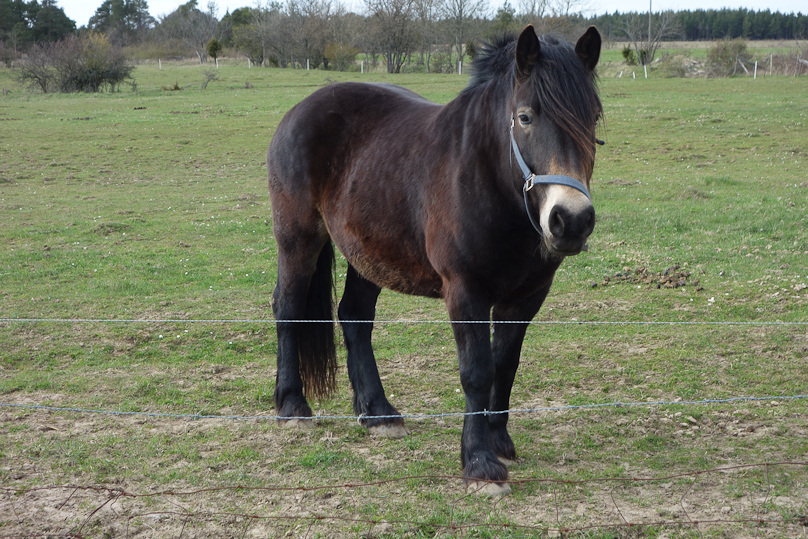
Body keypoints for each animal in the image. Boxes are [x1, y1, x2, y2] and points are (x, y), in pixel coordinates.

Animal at [267, 25, 602, 494]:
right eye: (525, 117)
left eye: (593, 119)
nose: (570, 219)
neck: (487, 177)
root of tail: (299, 110)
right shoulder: (465, 292)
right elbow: (477, 371)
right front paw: (479, 461)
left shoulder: (526, 297)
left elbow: (505, 365)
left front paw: (499, 441)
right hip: (298, 238)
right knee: (289, 307)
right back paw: (293, 405)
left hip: (368, 253)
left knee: (354, 317)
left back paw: (378, 411)